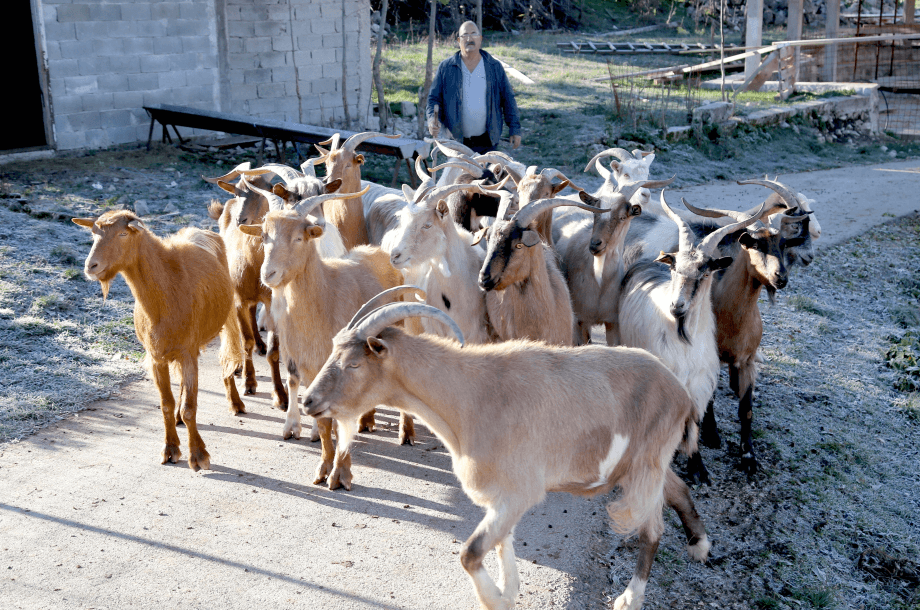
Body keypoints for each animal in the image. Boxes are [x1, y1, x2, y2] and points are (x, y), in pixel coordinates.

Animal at [73, 209, 244, 470]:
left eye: (123, 234)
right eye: (93, 234)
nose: (91, 266)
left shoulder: (187, 353)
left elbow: (191, 407)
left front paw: (198, 455)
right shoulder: (157, 358)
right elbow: (166, 404)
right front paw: (170, 449)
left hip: (226, 319)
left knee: (227, 359)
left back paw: (235, 403)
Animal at [302, 298, 712, 608]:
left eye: (354, 364)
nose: (307, 401)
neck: (471, 396)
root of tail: (682, 395)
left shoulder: (518, 491)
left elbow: (470, 552)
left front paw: (497, 599)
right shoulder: (501, 495)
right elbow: (502, 542)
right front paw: (510, 589)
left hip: (648, 462)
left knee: (652, 529)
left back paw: (629, 598)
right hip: (645, 463)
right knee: (677, 490)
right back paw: (700, 546)